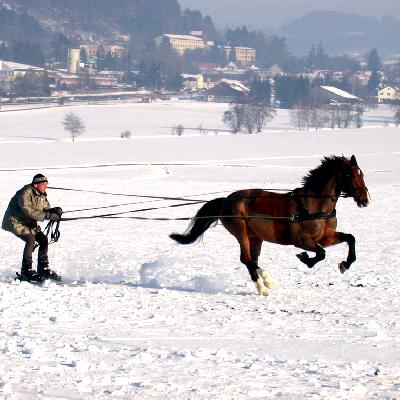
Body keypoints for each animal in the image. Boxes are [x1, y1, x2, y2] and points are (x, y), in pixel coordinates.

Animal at [170, 155, 370, 296]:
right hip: (241, 233)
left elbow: (350, 238)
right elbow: (321, 254)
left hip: (255, 237)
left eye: (362, 174)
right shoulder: (302, 240)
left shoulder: (326, 237)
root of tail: (227, 199)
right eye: (351, 175)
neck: (313, 205)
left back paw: (265, 283)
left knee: (252, 260)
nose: (365, 199)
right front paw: (305, 258)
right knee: (246, 259)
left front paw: (345, 264)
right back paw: (264, 286)